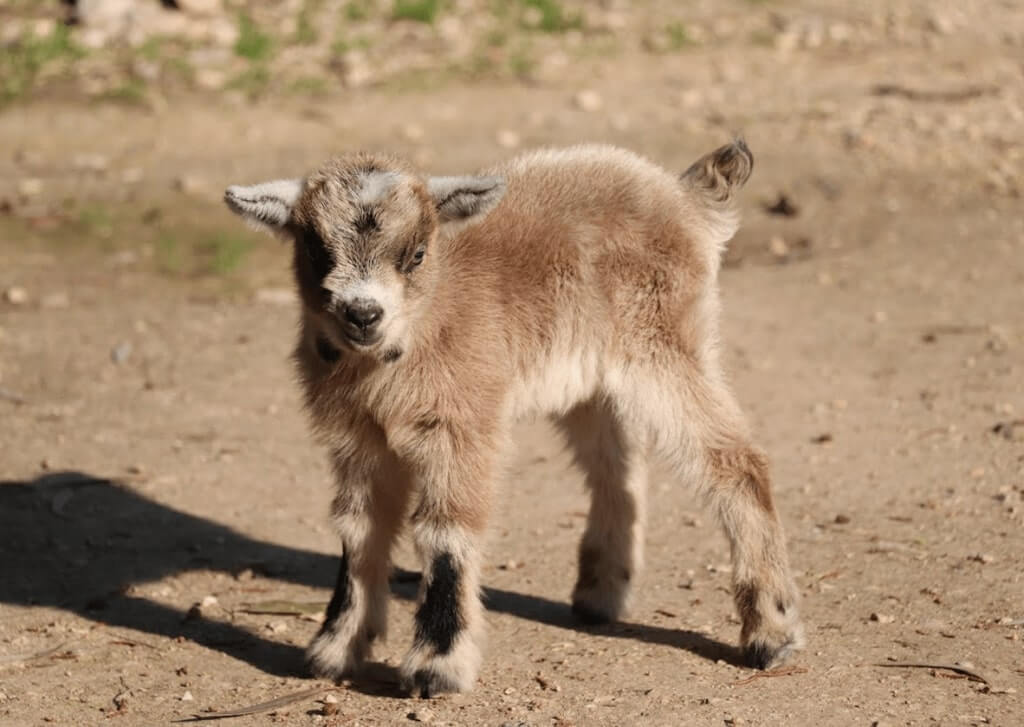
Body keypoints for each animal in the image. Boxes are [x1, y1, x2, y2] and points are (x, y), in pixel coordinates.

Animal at [226, 138, 806, 700]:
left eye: (417, 254)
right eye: (315, 250)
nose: (363, 315)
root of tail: (685, 196)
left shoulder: (462, 427)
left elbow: (446, 532)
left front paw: (438, 667)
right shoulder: (356, 437)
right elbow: (359, 530)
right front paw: (336, 650)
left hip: (665, 344)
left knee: (737, 460)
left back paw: (771, 634)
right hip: (592, 384)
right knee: (617, 470)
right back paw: (600, 595)